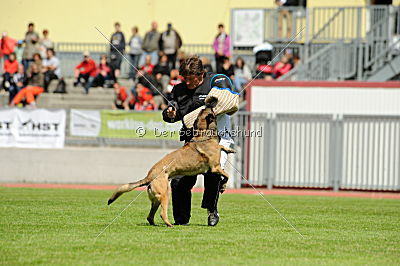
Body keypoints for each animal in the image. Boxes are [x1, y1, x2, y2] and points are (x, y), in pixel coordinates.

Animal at [108, 97, 236, 227]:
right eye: (210, 109)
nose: (210, 101)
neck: (203, 133)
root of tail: (149, 177)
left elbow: (222, 147)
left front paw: (230, 150)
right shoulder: (215, 168)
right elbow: (227, 176)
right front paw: (223, 186)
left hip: (157, 199)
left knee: (150, 216)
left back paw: (156, 223)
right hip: (165, 194)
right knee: (162, 213)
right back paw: (170, 224)